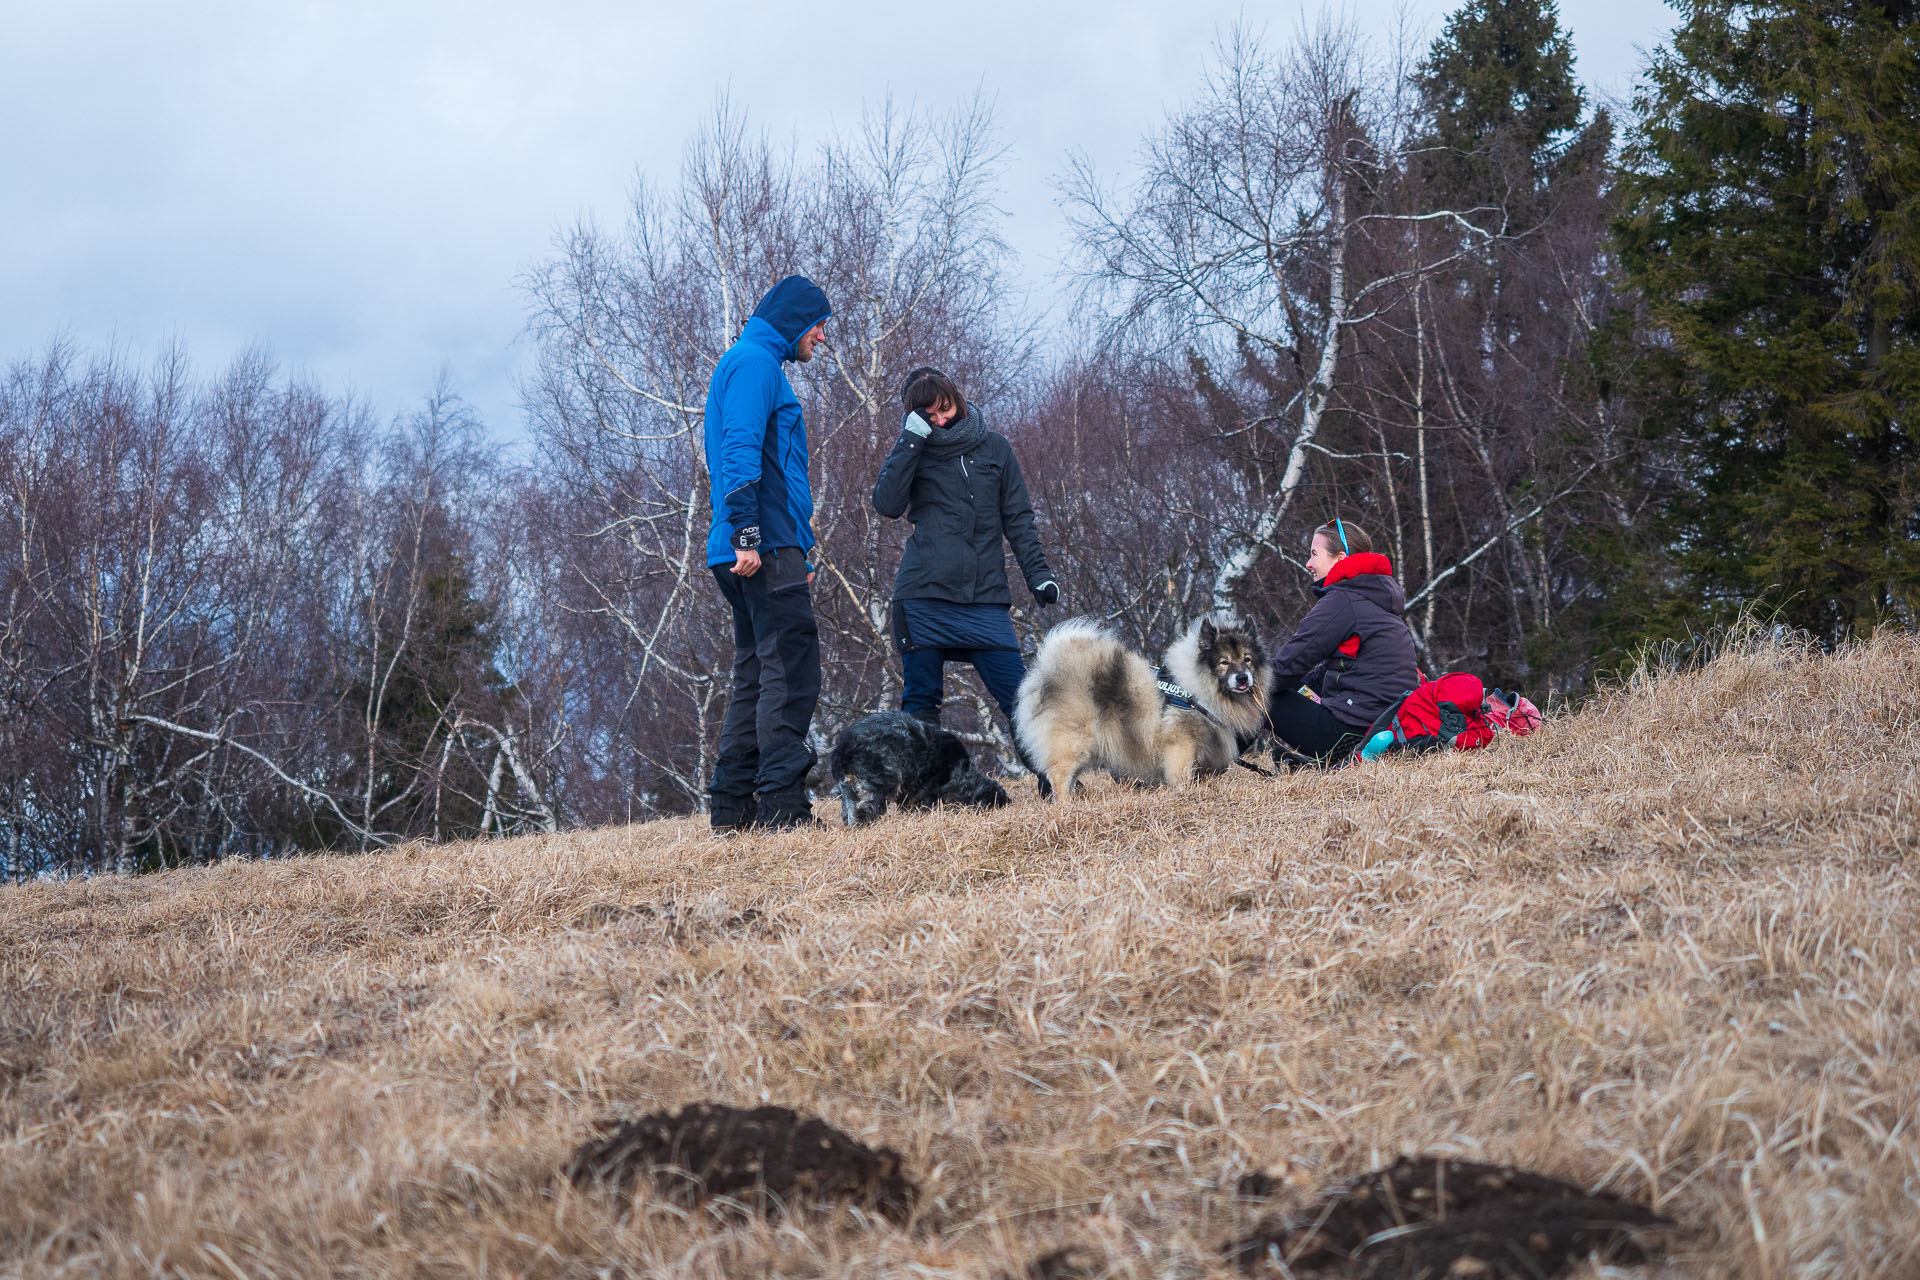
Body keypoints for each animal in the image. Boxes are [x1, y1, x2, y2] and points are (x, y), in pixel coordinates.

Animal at [1013, 614, 1267, 802]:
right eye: (1224, 662)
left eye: (1247, 659)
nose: (1243, 678)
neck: (1196, 690)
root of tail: (1047, 669)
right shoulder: (1181, 743)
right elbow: (1181, 773)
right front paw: (1184, 793)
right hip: (1074, 742)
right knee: (1058, 775)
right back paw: (1065, 806)